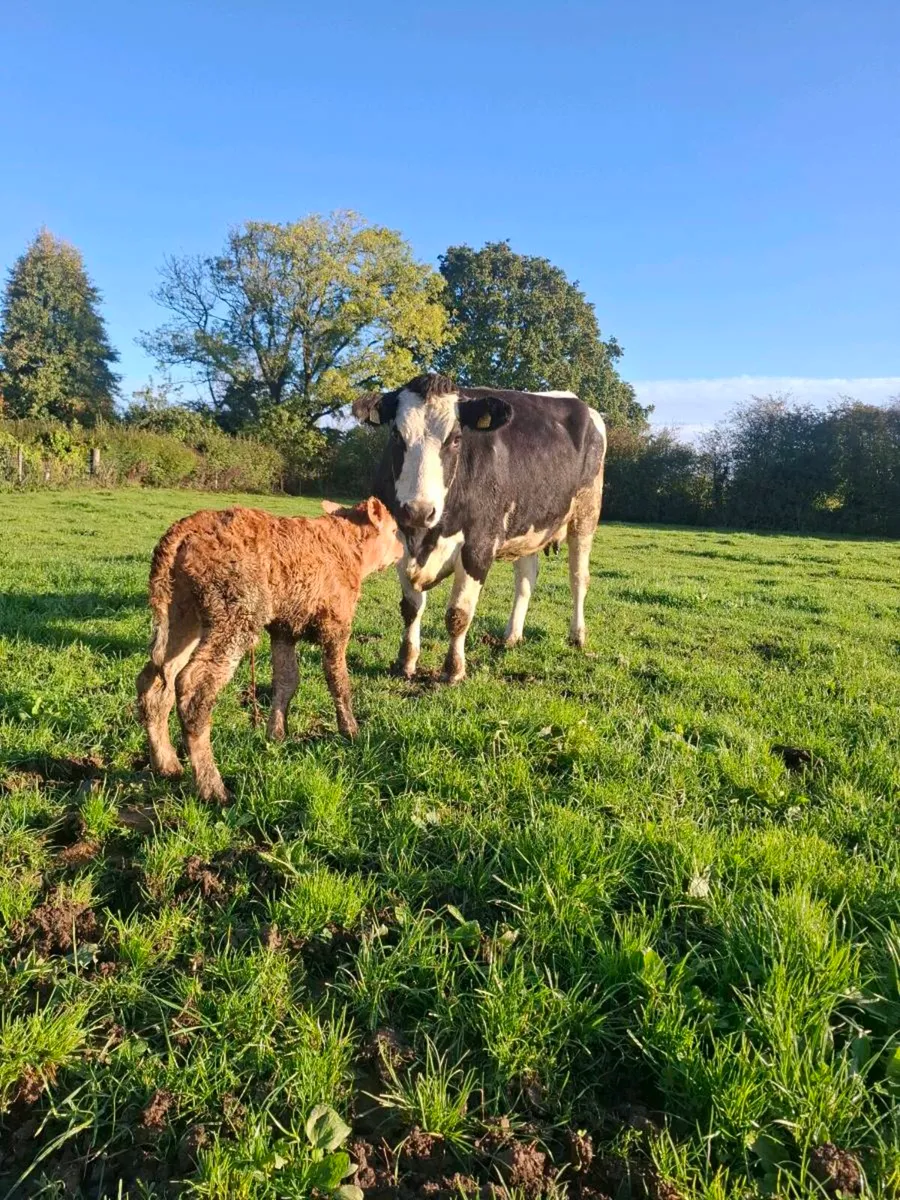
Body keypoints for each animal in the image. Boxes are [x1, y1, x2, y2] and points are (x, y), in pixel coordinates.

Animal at [352, 373, 607, 683]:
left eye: (456, 439)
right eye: (396, 435)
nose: (419, 510)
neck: (424, 537)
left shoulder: (478, 547)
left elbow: (458, 614)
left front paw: (453, 670)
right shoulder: (400, 542)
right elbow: (411, 609)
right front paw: (406, 662)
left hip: (586, 514)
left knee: (578, 578)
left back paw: (577, 636)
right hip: (527, 527)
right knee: (526, 580)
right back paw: (512, 636)